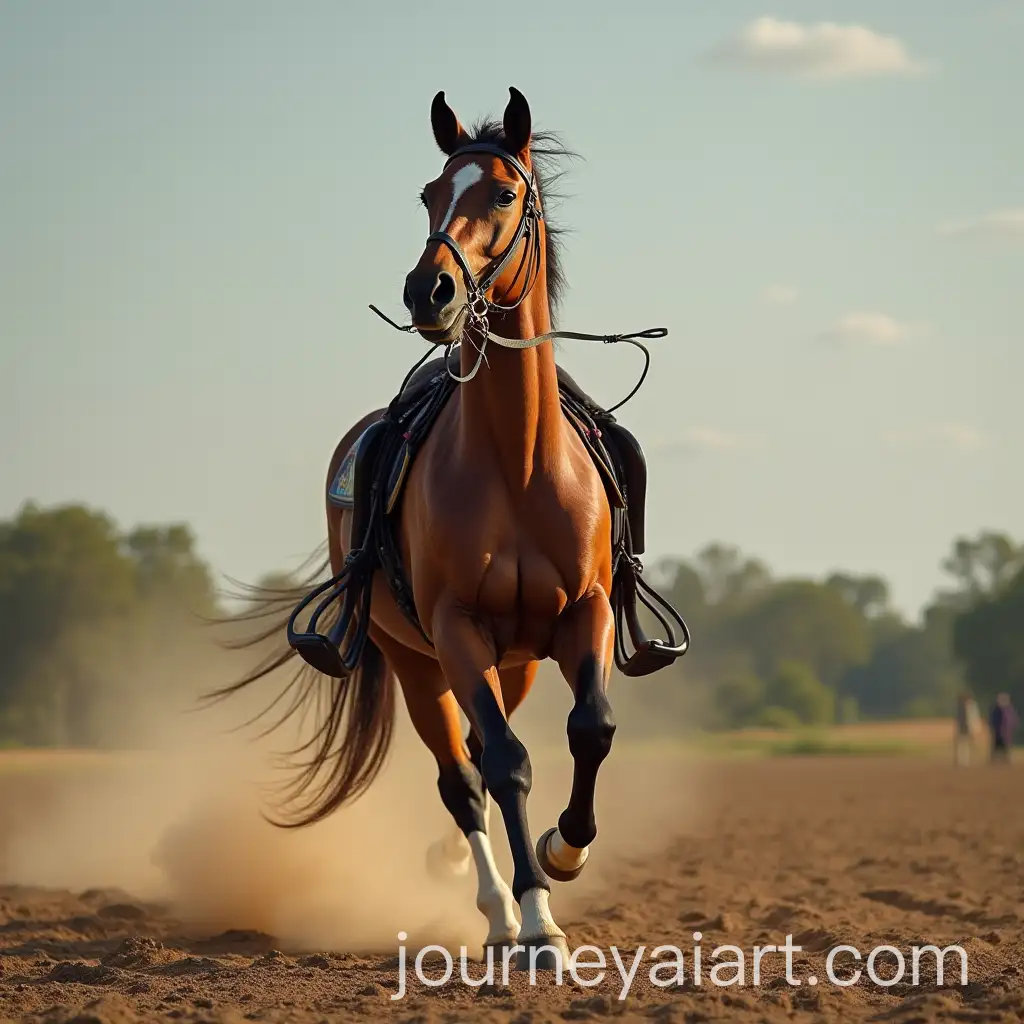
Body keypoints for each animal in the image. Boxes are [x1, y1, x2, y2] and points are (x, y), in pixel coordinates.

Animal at [212, 87, 689, 970]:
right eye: (431, 194)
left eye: (502, 194)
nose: (426, 291)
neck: (517, 462)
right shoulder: (455, 627)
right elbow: (501, 762)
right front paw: (536, 921)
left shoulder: (586, 615)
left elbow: (591, 730)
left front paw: (566, 850)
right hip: (415, 662)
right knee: (460, 773)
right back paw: (495, 912)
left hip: (516, 659)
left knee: (492, 741)